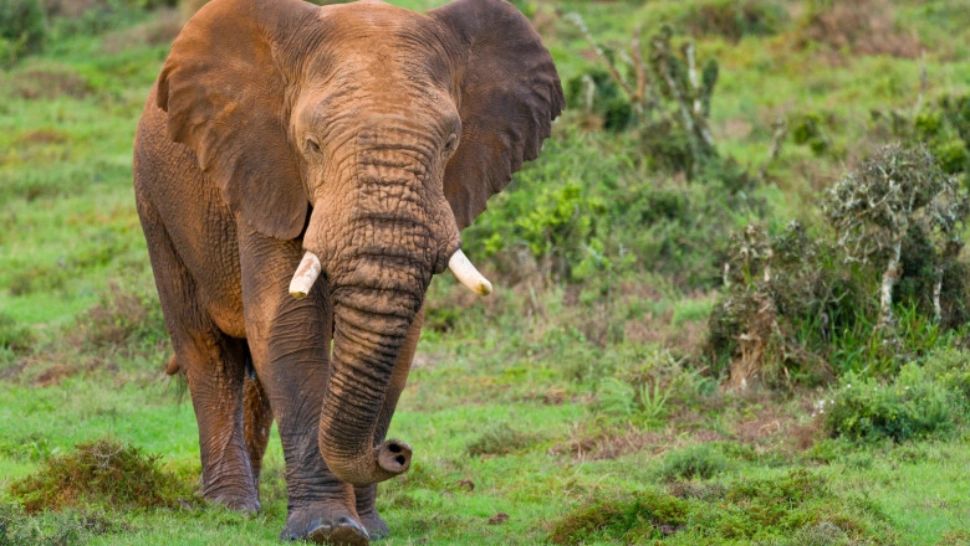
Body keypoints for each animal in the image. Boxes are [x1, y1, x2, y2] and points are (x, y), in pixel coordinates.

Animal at [132, 0, 562, 543]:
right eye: (312, 144)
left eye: (451, 142)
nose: (397, 451)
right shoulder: (269, 171)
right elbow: (289, 329)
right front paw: (329, 529)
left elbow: (400, 348)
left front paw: (370, 528)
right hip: (156, 206)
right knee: (207, 352)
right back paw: (231, 509)